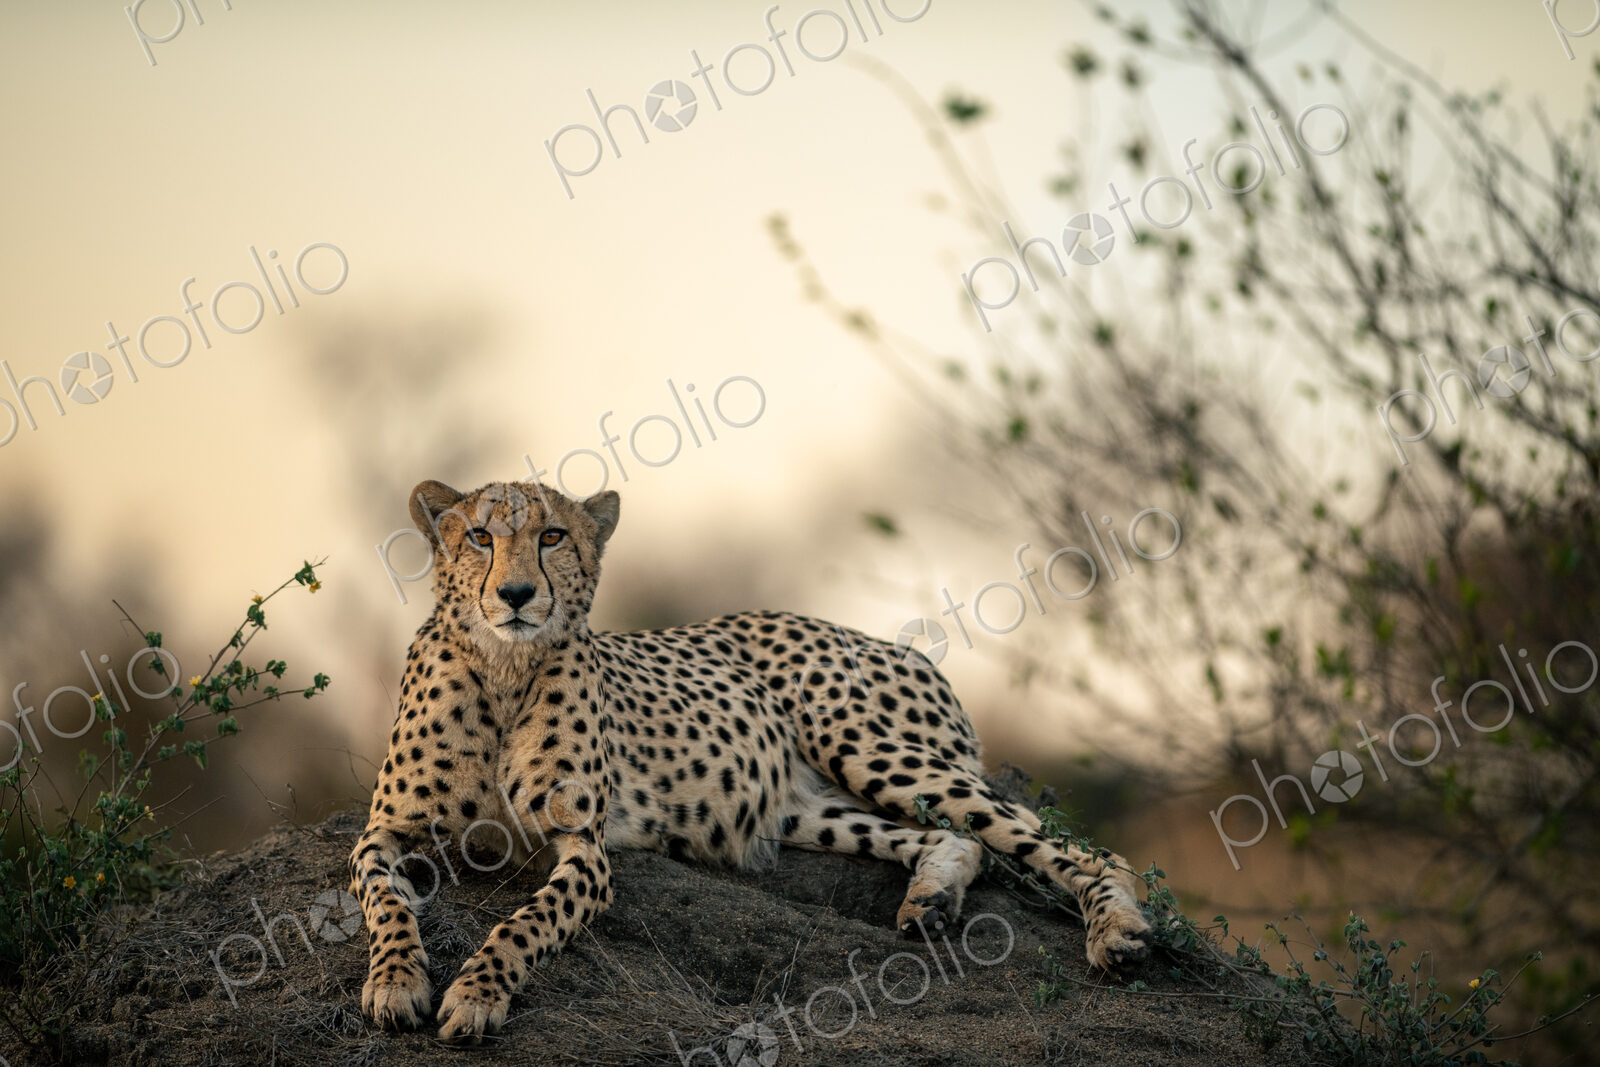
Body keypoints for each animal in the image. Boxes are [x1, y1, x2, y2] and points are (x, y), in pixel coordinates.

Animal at [349, 478, 1153, 1043]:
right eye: (480, 536)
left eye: (552, 536)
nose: (516, 595)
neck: (504, 666)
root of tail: (883, 638)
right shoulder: (384, 832)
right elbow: (384, 902)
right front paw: (395, 984)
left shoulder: (584, 846)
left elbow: (524, 923)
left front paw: (476, 994)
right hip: (803, 808)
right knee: (950, 836)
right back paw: (931, 898)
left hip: (868, 746)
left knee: (1073, 846)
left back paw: (1118, 932)